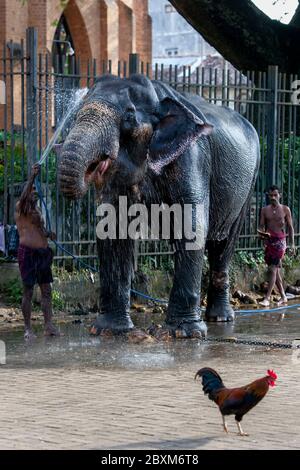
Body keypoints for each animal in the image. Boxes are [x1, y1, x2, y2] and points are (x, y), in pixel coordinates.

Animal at [58, 73, 260, 338]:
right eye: (75, 114)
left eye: (129, 117)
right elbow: (112, 229)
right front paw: (108, 330)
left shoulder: (191, 156)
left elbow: (191, 225)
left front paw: (184, 333)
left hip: (249, 184)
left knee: (224, 244)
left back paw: (220, 319)